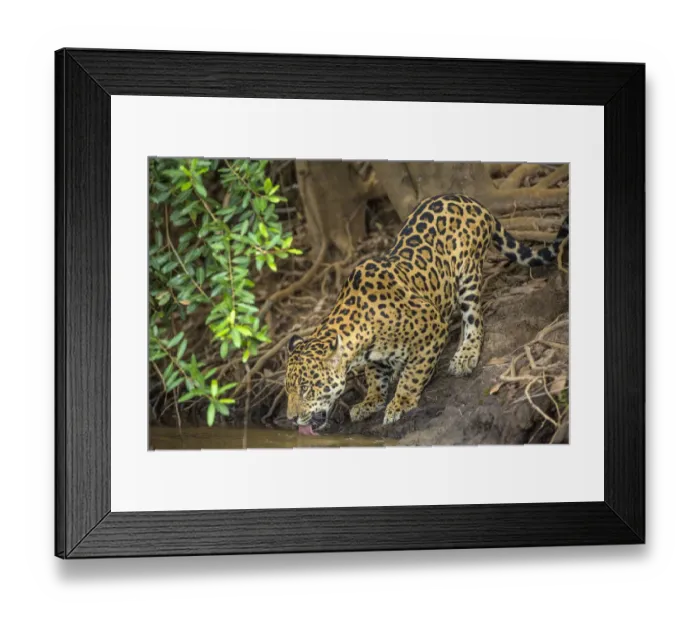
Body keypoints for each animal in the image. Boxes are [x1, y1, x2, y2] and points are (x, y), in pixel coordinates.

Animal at [284, 193, 569, 436]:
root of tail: (472, 201)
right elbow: (375, 376)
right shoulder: (374, 355)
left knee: (474, 319)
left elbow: (414, 374)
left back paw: (464, 356)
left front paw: (400, 402)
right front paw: (370, 401)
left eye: (307, 389)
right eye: (288, 389)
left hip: (467, 275)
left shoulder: (431, 327)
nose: (291, 418)